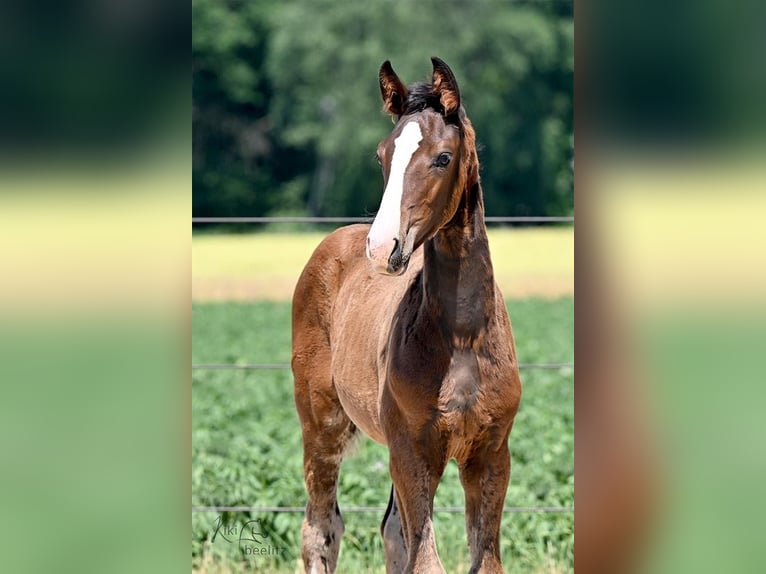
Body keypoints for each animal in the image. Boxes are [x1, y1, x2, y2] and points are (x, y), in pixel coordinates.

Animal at [291, 57, 522, 574]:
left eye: (442, 157)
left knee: (391, 533)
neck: (462, 338)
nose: (381, 247)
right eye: (382, 156)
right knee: (321, 531)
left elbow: (482, 560)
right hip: (322, 426)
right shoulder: (413, 451)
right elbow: (427, 561)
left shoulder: (491, 456)